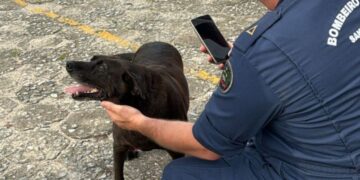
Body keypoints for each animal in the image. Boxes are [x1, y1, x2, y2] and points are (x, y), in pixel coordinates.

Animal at [65, 41, 190, 180]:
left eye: (102, 68)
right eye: (92, 59)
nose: (68, 64)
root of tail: (157, 42)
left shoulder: (177, 153)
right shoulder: (118, 146)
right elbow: (118, 173)